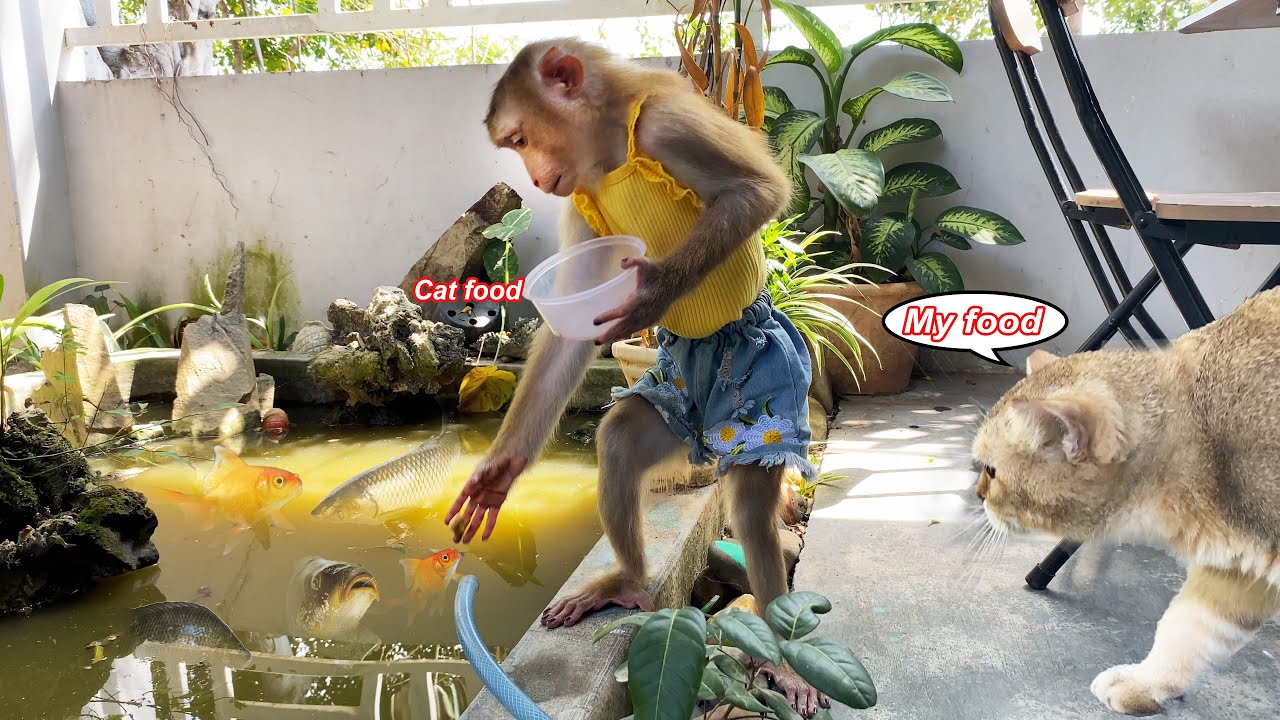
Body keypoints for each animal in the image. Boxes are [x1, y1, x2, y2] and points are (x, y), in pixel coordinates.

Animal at [444, 38, 828, 716]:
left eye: (519, 138)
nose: (534, 177)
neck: (612, 151)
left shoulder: (667, 126)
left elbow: (758, 191)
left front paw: (651, 294)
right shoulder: (578, 199)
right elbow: (567, 338)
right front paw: (499, 473)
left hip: (766, 403)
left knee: (754, 510)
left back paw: (784, 660)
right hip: (675, 399)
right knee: (622, 436)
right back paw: (625, 582)